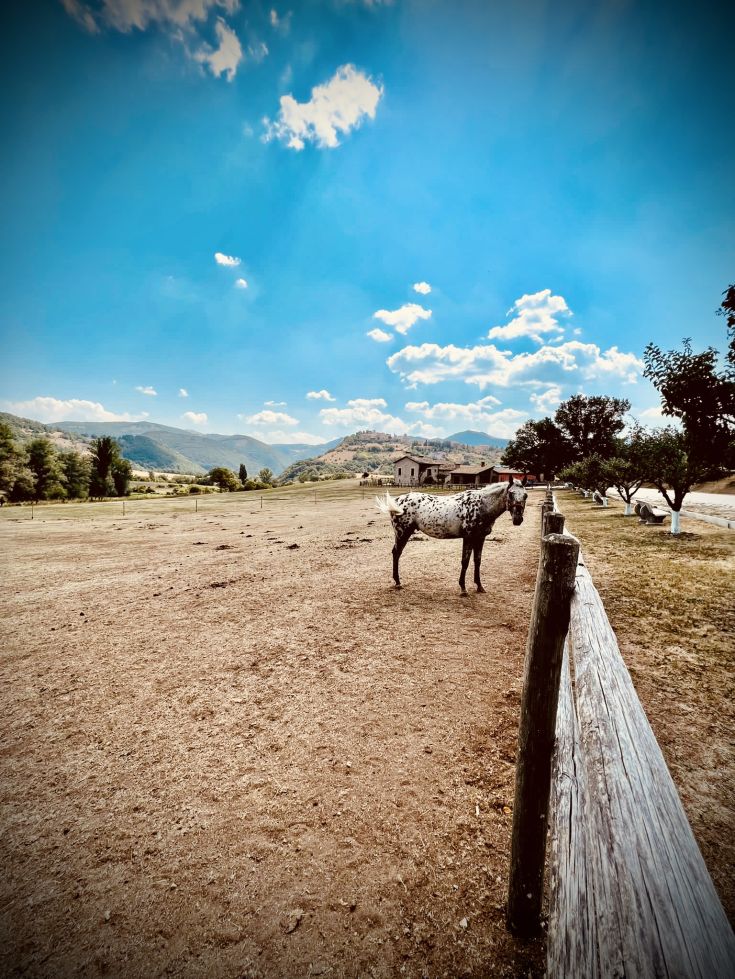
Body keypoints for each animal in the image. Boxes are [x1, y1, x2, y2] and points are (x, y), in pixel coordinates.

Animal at [375, 478, 528, 595]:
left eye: (525, 495)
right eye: (511, 494)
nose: (518, 520)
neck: (481, 506)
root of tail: (398, 500)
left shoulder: (480, 538)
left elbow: (477, 561)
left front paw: (479, 587)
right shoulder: (468, 538)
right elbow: (465, 562)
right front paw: (463, 589)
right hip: (402, 533)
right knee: (396, 553)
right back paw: (398, 583)